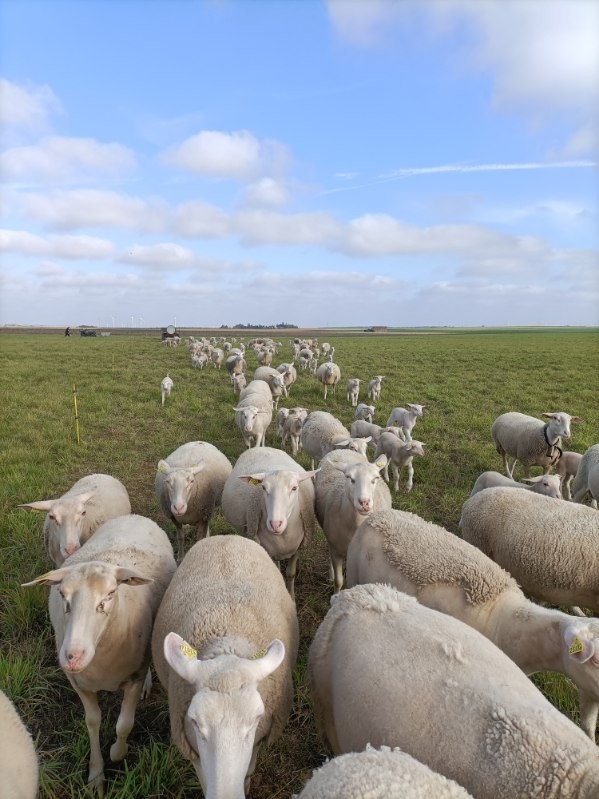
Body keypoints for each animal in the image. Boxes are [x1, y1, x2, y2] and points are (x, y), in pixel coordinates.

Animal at [23, 514, 176, 793]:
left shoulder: (134, 676)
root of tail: (134, 516)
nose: (73, 656)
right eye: (62, 594)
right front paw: (96, 775)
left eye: (111, 594)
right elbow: (93, 721)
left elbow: (124, 723)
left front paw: (117, 752)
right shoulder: (79, 684)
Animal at [151, 535, 298, 799]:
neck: (227, 638)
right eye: (194, 721)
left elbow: (249, 767)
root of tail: (226, 536)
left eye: (257, 717)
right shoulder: (191, 747)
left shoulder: (259, 738)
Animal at [221, 446, 318, 599]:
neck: (283, 537)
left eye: (294, 488)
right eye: (263, 488)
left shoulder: (298, 547)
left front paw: (291, 596)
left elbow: (291, 574)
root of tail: (261, 447)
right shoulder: (267, 549)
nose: (275, 524)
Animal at [315, 449, 391, 593]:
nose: (364, 502)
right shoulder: (336, 549)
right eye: (350, 478)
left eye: (376, 478)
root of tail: (342, 450)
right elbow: (338, 581)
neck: (355, 524)